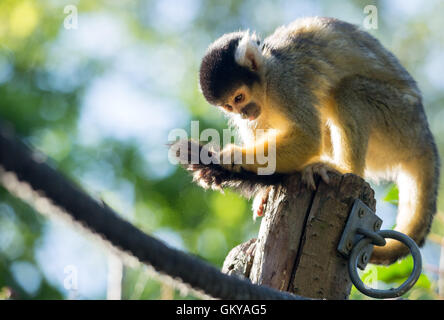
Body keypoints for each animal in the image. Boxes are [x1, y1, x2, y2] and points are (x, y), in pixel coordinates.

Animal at [175, 16, 438, 264]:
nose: (243, 113)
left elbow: (309, 137)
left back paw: (345, 168)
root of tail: (425, 137)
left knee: (348, 91)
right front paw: (261, 188)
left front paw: (233, 157)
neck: (266, 82)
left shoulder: (285, 83)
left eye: (239, 97)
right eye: (229, 106)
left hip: (401, 122)